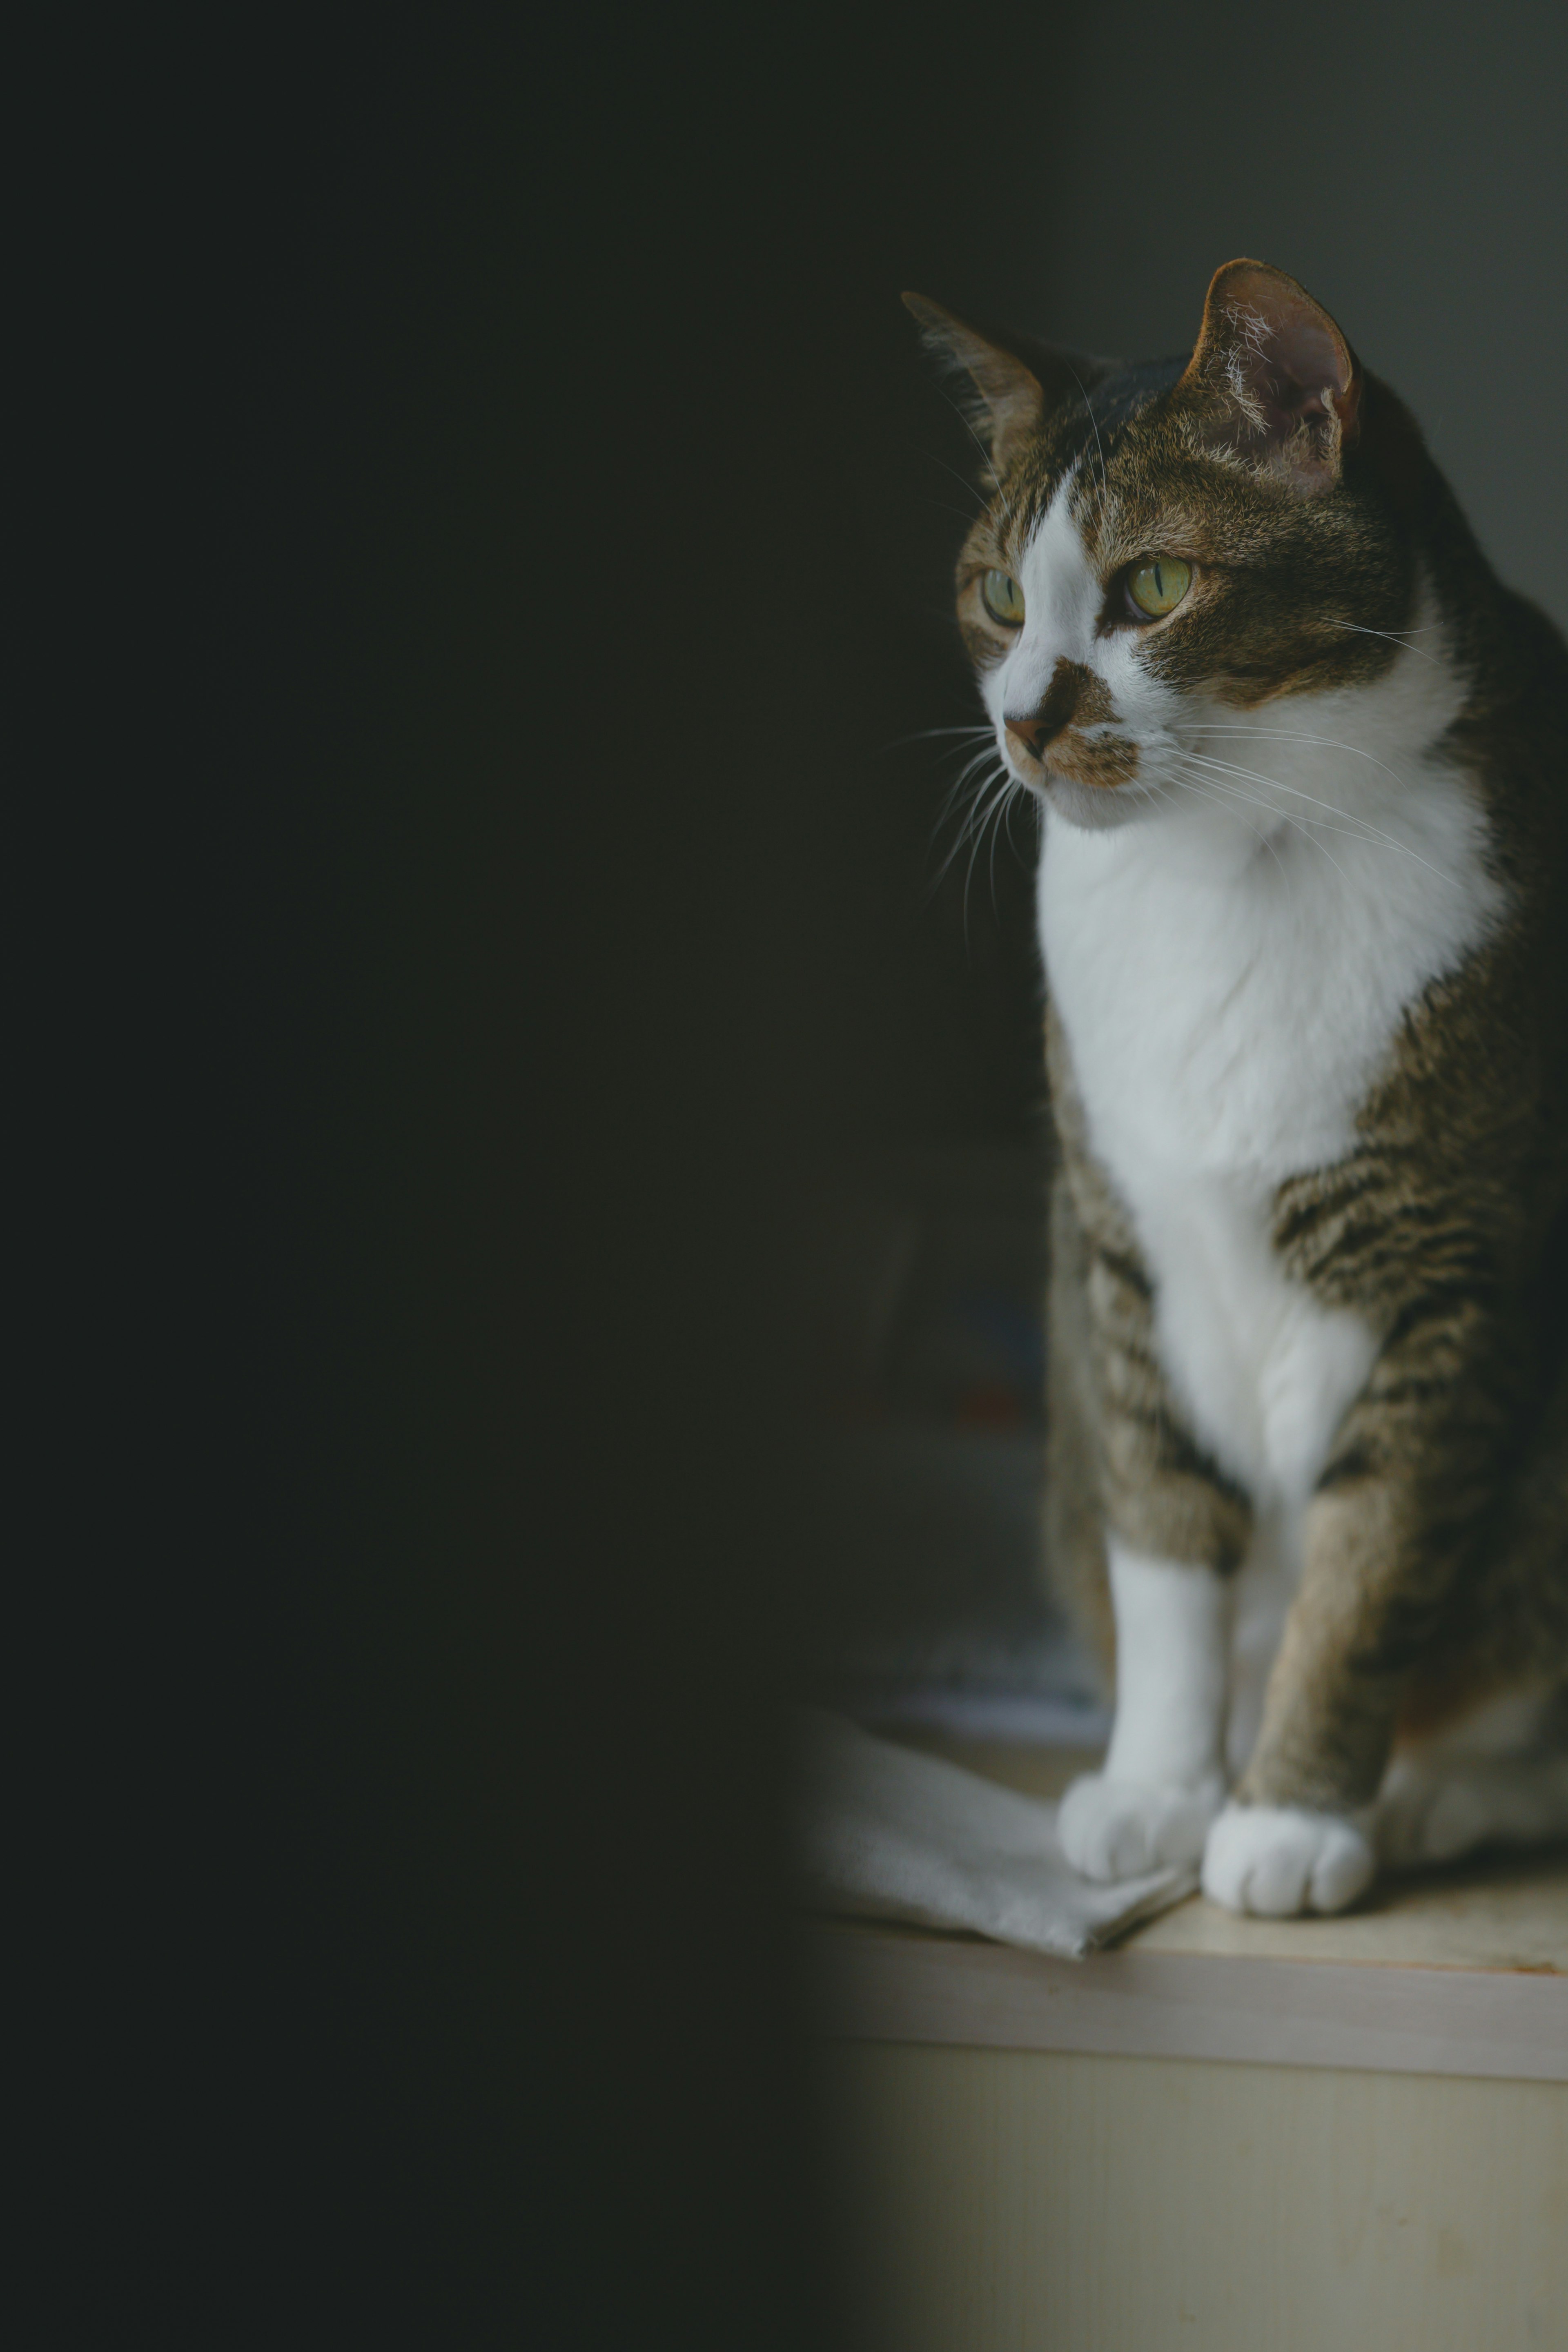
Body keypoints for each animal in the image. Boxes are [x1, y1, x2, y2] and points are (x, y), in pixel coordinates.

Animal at [907, 257, 1568, 1910]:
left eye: (1152, 589)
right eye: (999, 596)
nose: (1023, 718)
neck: (1234, 859)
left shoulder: (1452, 1270)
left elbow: (1368, 1567)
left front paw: (1287, 1817)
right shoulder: (1120, 1246)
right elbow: (1159, 1543)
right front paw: (1159, 1787)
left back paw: (1433, 1799)